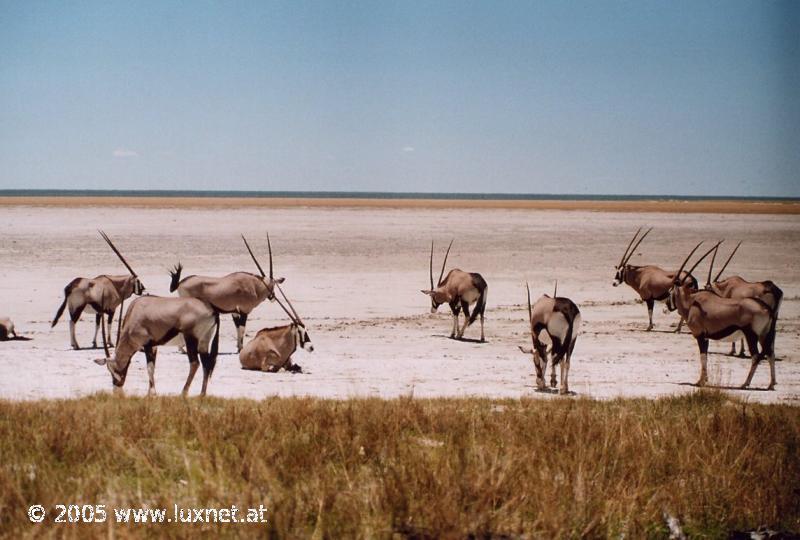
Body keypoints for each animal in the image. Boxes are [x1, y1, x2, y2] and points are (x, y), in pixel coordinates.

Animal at [664, 243, 780, 390]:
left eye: (670, 291)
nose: (666, 307)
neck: (691, 302)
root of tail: (766, 308)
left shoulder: (700, 336)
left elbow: (703, 357)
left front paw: (700, 382)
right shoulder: (706, 337)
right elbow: (705, 357)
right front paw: (704, 380)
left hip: (752, 335)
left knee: (756, 356)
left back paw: (745, 383)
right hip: (764, 335)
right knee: (770, 354)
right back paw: (771, 384)